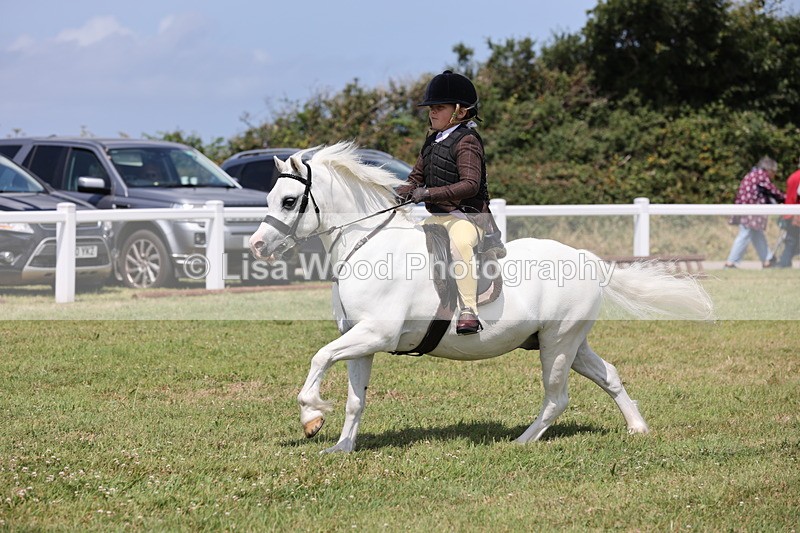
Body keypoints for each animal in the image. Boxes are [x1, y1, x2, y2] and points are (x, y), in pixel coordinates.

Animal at [249, 142, 713, 454]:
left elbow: (319, 358)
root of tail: (590, 260)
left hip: (558, 344)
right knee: (610, 375)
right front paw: (341, 447)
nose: (256, 246)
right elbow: (354, 399)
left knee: (557, 397)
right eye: (270, 197)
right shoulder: (360, 340)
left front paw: (311, 416)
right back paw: (638, 428)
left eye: (289, 200)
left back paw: (522, 441)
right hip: (568, 341)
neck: (368, 245)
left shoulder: (376, 333)